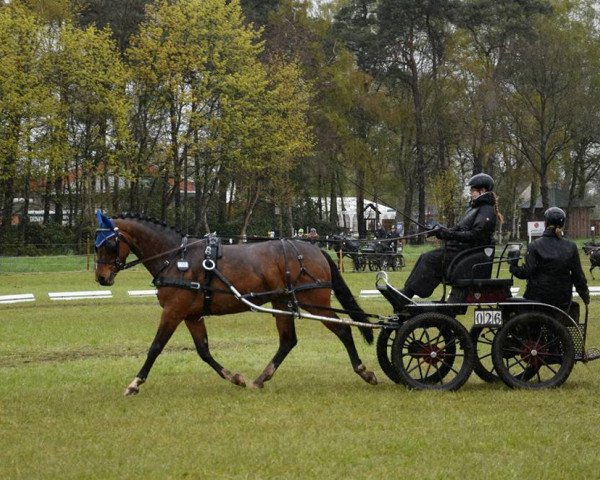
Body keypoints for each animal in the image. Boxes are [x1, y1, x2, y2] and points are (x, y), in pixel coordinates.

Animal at [93, 213, 376, 394]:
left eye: (109, 244)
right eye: (96, 245)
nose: (101, 277)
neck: (176, 258)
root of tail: (316, 250)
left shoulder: (174, 311)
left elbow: (155, 347)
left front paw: (135, 383)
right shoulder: (191, 315)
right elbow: (204, 351)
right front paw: (235, 378)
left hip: (314, 301)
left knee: (343, 330)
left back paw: (364, 371)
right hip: (283, 302)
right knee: (288, 341)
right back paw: (260, 379)